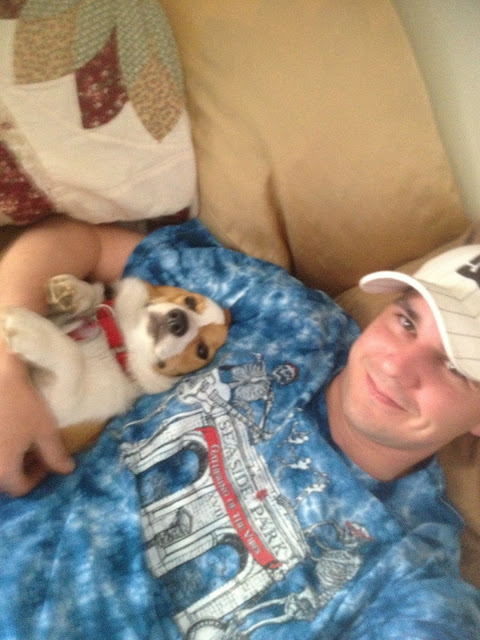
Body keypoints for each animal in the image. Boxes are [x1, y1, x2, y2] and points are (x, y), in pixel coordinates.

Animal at [1, 275, 231, 453]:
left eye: (202, 351)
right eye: (190, 301)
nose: (178, 321)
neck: (120, 342)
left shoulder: (59, 412)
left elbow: (72, 357)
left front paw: (30, 330)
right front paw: (73, 292)